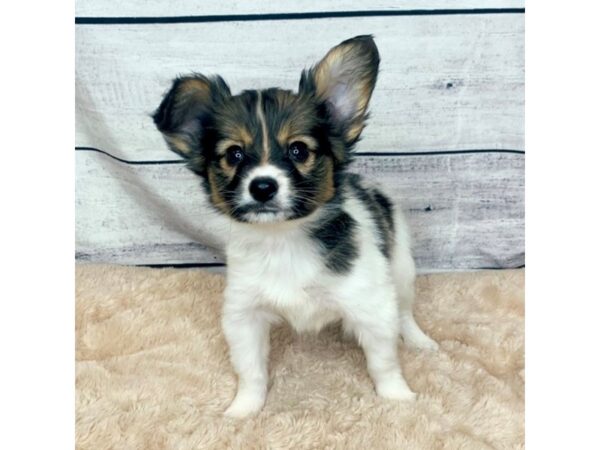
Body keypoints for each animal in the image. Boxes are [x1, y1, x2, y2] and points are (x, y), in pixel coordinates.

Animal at [152, 35, 438, 418]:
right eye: (234, 155)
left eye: (299, 150)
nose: (262, 186)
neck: (283, 241)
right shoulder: (244, 313)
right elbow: (250, 371)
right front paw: (243, 411)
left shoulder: (371, 304)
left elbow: (383, 362)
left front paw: (397, 398)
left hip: (401, 267)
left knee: (405, 311)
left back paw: (420, 341)